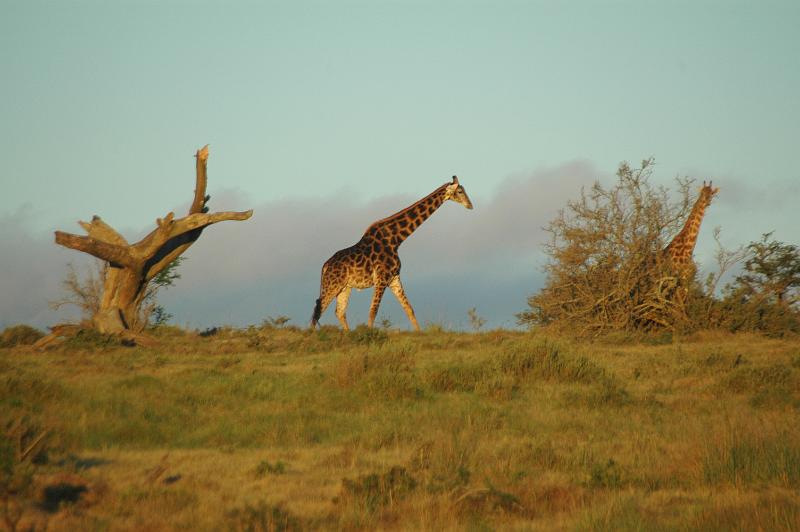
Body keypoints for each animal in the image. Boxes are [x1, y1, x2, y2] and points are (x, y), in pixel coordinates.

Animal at [310, 177, 476, 330]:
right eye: (460, 191)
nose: (470, 205)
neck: (396, 239)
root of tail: (325, 266)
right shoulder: (382, 278)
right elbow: (373, 310)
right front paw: (369, 334)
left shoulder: (394, 278)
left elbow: (409, 309)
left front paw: (419, 333)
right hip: (333, 284)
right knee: (317, 311)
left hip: (345, 287)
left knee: (339, 311)